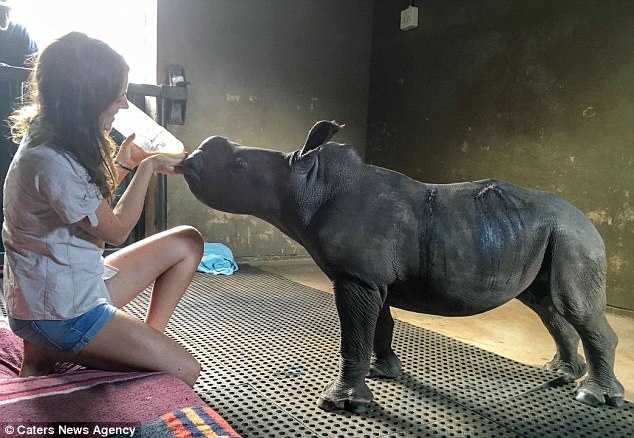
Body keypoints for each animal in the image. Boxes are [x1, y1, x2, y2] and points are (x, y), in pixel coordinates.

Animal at [179, 120, 624, 414]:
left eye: (239, 168)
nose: (191, 161)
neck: (308, 185)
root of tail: (587, 219)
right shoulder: (371, 278)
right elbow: (379, 324)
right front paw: (384, 371)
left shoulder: (355, 277)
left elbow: (354, 335)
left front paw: (343, 404)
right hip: (547, 234)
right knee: (546, 304)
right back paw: (561, 373)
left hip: (574, 237)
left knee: (574, 306)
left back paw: (594, 397)